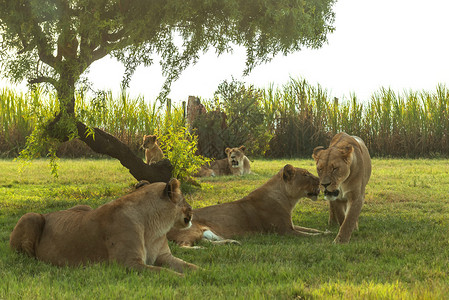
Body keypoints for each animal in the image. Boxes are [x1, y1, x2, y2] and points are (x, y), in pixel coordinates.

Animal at [8, 179, 197, 276]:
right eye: (184, 199)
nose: (192, 210)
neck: (156, 229)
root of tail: (50, 213)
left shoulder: (164, 257)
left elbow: (191, 267)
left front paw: (202, 274)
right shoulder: (127, 263)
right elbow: (164, 272)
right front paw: (184, 279)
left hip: (84, 206)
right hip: (30, 216)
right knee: (26, 257)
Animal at [168, 164, 326, 246]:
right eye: (305, 175)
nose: (320, 180)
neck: (288, 199)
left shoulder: (291, 225)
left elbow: (311, 229)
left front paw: (327, 232)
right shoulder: (284, 231)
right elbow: (309, 236)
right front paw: (325, 237)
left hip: (209, 234)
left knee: (205, 242)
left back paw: (232, 242)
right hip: (192, 229)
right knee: (184, 246)